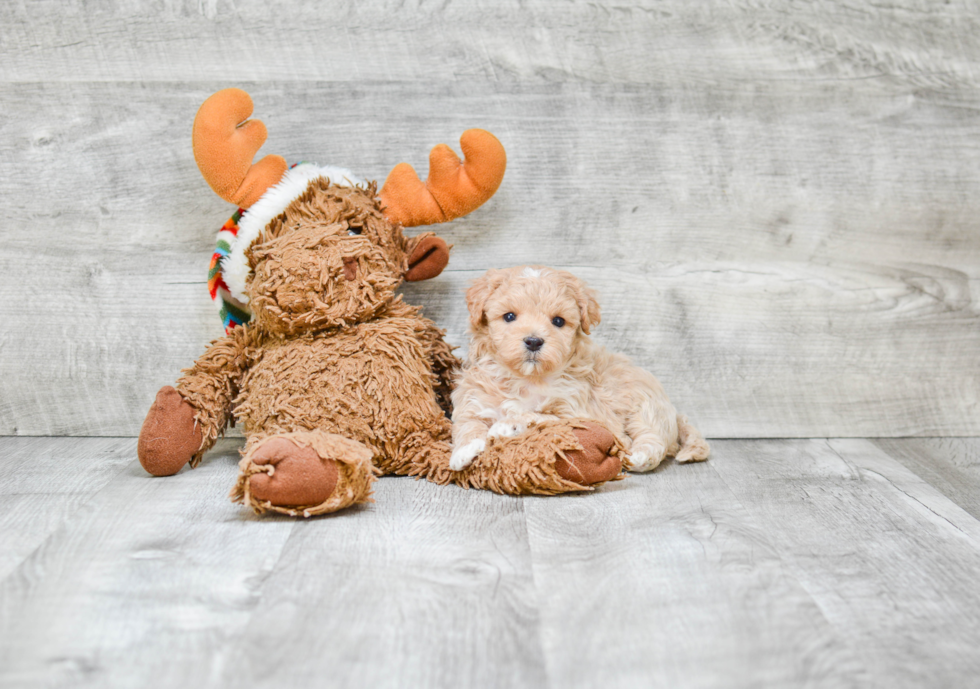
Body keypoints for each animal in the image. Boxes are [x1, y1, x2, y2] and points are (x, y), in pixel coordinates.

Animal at [448, 264, 708, 472]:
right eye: (509, 316)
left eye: (558, 321)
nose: (533, 341)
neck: (527, 378)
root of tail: (674, 412)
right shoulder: (473, 400)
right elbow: (467, 425)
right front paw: (463, 452)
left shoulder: (576, 412)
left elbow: (537, 415)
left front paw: (504, 426)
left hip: (644, 406)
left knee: (653, 439)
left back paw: (636, 456)